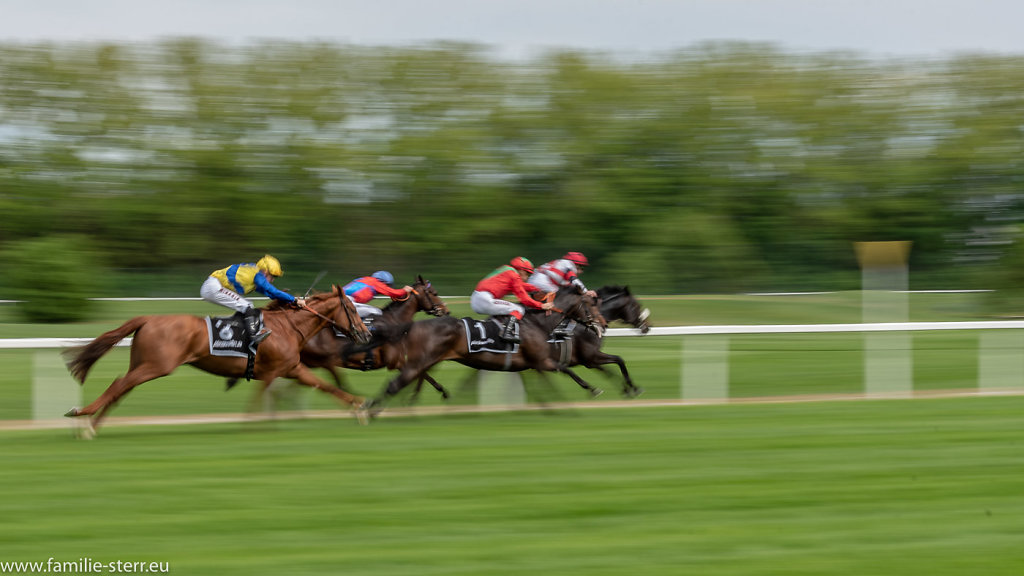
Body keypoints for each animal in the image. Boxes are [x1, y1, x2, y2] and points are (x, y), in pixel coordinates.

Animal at [61, 282, 372, 434]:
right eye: (352, 309)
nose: (366, 334)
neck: (287, 327)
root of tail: (148, 318)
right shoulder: (278, 370)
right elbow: (263, 399)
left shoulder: (291, 369)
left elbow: (325, 386)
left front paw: (359, 405)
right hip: (156, 365)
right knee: (118, 385)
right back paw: (83, 415)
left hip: (144, 364)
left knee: (121, 389)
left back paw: (92, 426)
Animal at [364, 284, 606, 412]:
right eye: (591, 304)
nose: (602, 324)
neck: (538, 323)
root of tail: (413, 325)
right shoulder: (542, 361)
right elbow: (567, 370)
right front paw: (593, 389)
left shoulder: (534, 365)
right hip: (419, 361)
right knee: (396, 384)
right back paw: (372, 409)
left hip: (426, 361)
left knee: (414, 380)